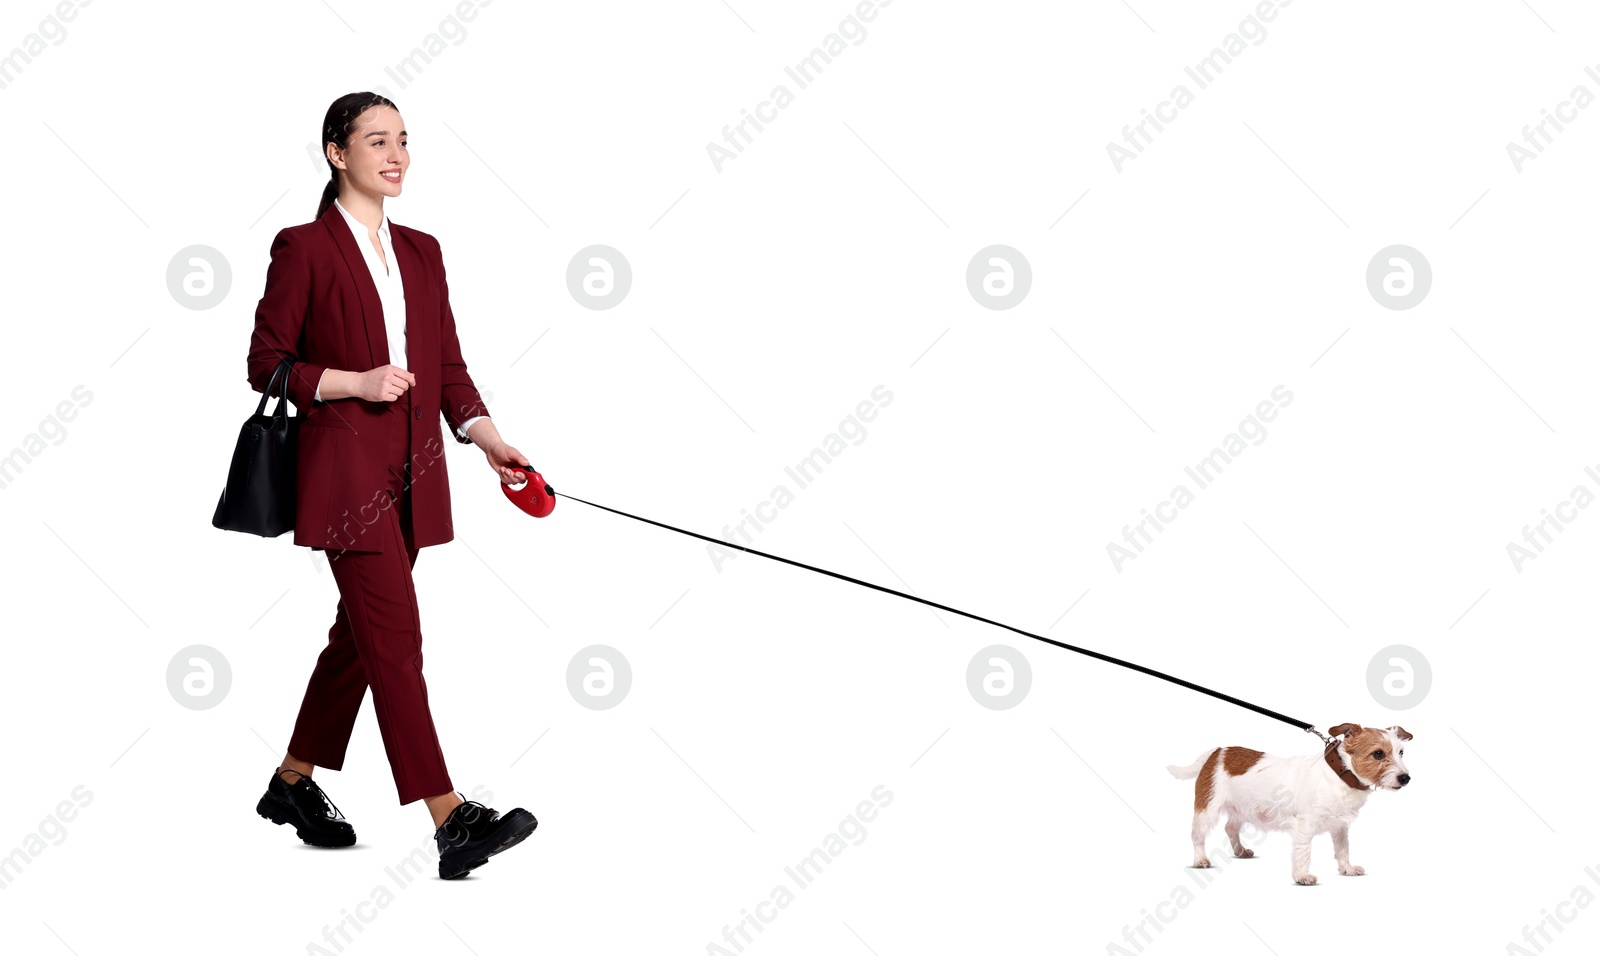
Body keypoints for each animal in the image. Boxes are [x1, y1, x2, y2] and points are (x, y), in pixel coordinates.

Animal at [244, 93, 537, 882]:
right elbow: (270, 358)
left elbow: (450, 372)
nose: (399, 158)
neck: (370, 217)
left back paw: (296, 796)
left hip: (401, 532)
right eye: (380, 141)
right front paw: (459, 826)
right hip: (358, 522)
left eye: (400, 139)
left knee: (347, 638)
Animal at [1164, 722, 1414, 888]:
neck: (1340, 775)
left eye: (1401, 752)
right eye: (1378, 754)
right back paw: (1200, 860)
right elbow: (1303, 853)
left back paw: (1240, 850)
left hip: (1241, 808)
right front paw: (1303, 876)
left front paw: (1347, 869)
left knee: (1230, 828)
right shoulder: (1304, 826)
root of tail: (1217, 752)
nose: (1405, 778)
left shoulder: (1340, 827)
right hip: (1207, 809)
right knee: (1197, 835)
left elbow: (1343, 849)